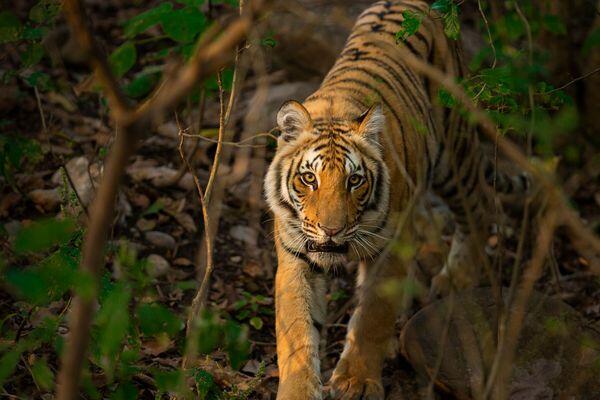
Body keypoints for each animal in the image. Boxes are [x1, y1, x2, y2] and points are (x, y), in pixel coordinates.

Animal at [264, 1, 528, 398]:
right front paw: (298, 390)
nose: (331, 230)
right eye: (309, 179)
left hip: (454, 155)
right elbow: (296, 331)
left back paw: (456, 278)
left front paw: (357, 381)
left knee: (480, 206)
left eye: (354, 181)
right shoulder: (296, 255)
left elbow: (374, 315)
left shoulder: (392, 246)